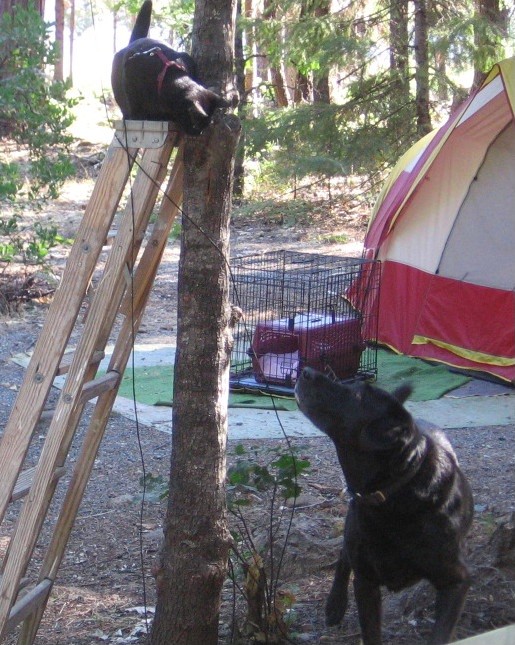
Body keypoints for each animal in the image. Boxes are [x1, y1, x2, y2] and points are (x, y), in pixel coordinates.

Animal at [112, 0, 230, 135]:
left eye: (206, 125)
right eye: (195, 124)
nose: (197, 133)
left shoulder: (187, 58)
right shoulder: (130, 74)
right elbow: (136, 108)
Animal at [296, 368, 474, 644]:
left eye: (356, 395)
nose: (306, 371)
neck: (397, 491)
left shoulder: (457, 579)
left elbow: (440, 634)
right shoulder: (366, 581)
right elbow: (371, 632)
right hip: (352, 527)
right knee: (344, 554)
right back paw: (335, 605)